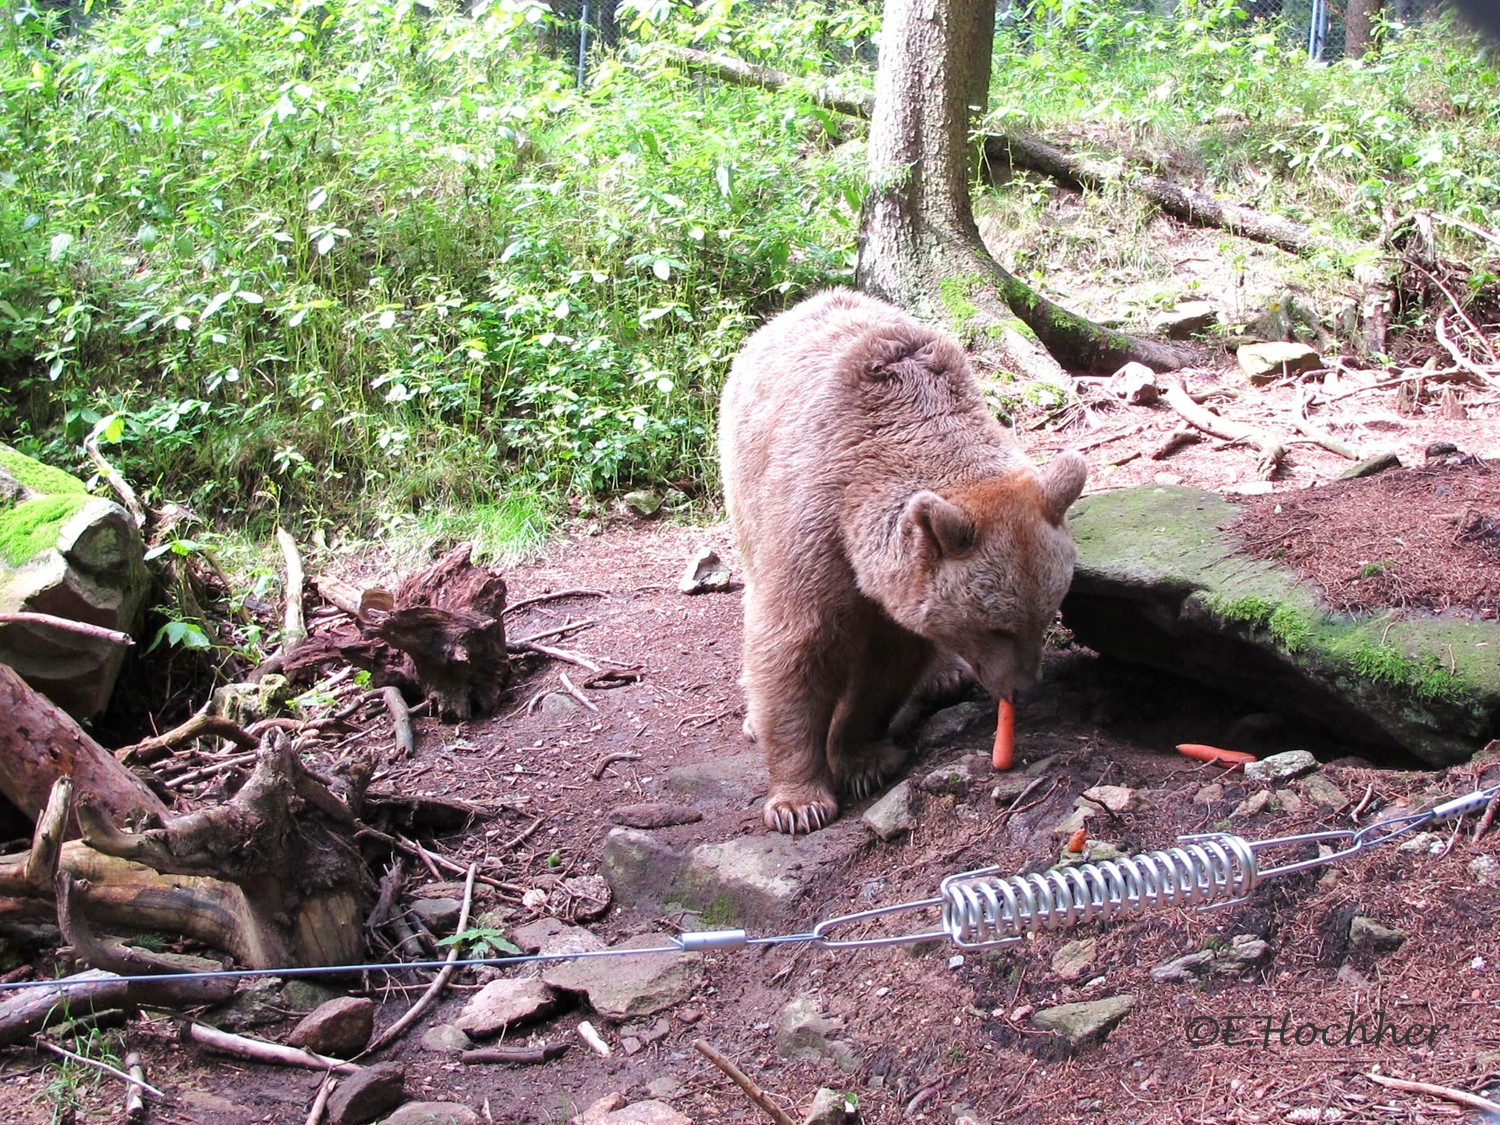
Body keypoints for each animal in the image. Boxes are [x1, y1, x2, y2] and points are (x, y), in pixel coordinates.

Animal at [717, 288, 1086, 840]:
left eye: (1045, 617)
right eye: (996, 627)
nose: (1024, 690)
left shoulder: (895, 589)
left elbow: (887, 664)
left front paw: (862, 758)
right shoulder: (813, 520)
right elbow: (793, 644)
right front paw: (799, 803)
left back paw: (944, 676)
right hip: (744, 480)